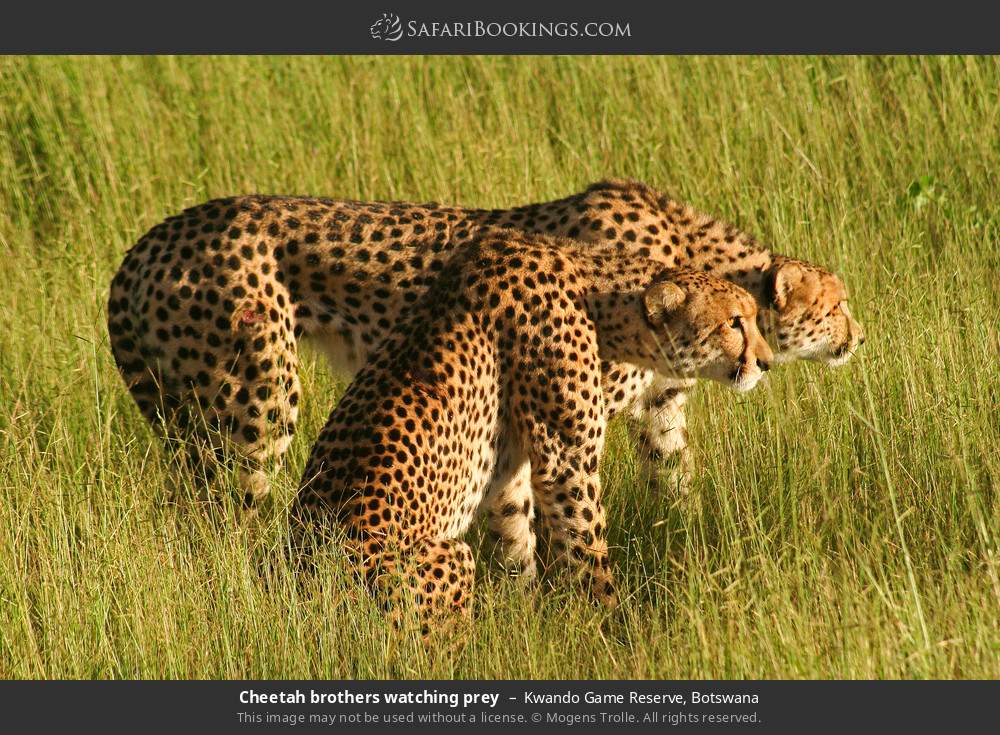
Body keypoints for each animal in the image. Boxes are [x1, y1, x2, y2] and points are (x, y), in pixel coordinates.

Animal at [106, 178, 863, 506]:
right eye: (838, 304)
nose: (859, 333)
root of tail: (152, 238)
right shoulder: (574, 403)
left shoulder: (659, 410)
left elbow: (675, 479)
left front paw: (684, 539)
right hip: (256, 398)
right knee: (232, 508)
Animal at [290, 232, 774, 629]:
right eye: (734, 321)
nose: (766, 363)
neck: (596, 293)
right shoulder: (567, 462)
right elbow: (586, 547)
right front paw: (610, 623)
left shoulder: (509, 467)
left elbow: (514, 537)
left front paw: (522, 616)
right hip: (444, 556)